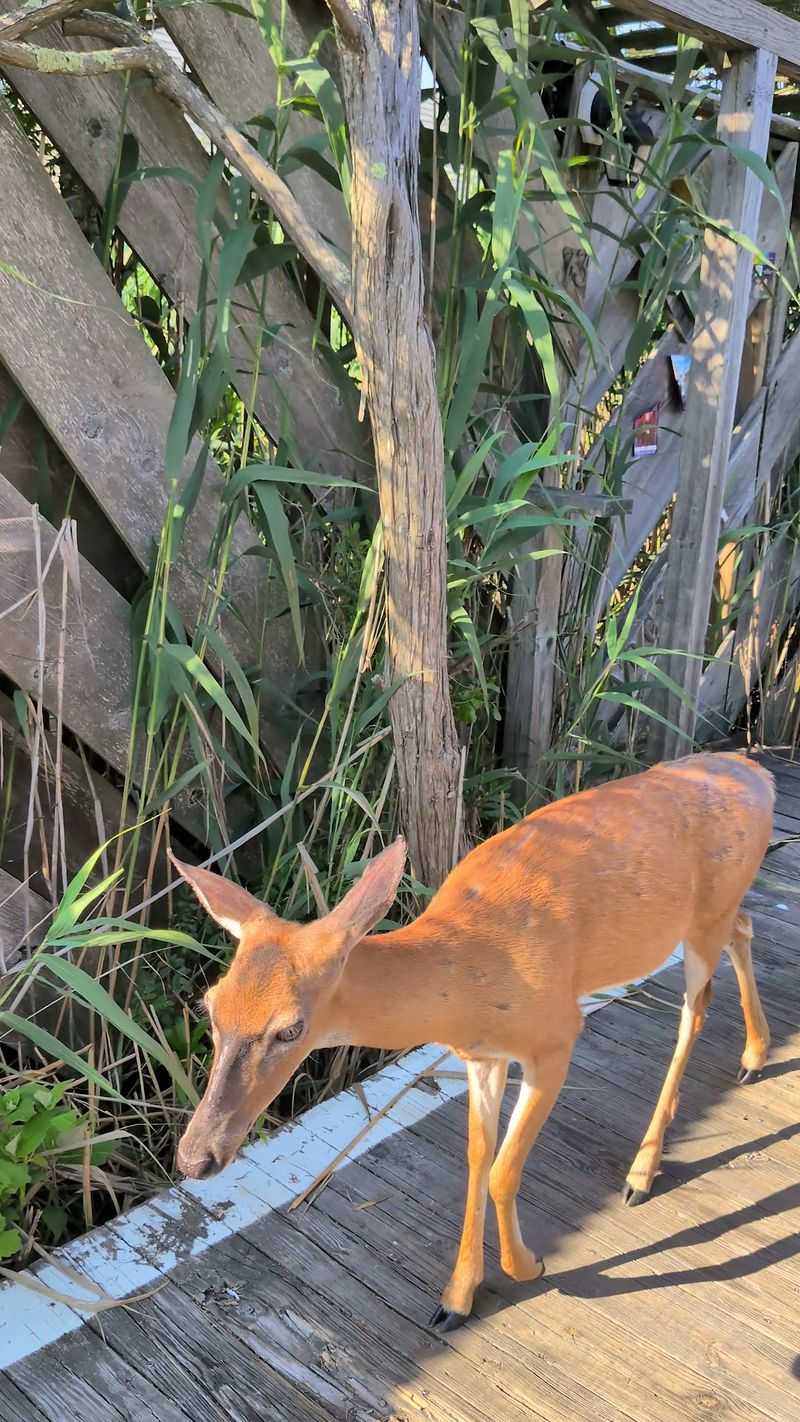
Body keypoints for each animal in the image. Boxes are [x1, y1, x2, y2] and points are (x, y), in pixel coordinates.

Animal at [171, 751, 774, 1331]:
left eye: (290, 1028)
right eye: (210, 1006)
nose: (195, 1157)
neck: (462, 980)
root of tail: (758, 771)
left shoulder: (556, 1035)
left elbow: (504, 1171)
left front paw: (530, 1266)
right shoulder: (482, 1056)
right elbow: (478, 1158)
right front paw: (457, 1298)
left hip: (704, 915)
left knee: (695, 1007)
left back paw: (642, 1171)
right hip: (716, 912)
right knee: (744, 928)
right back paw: (753, 1055)